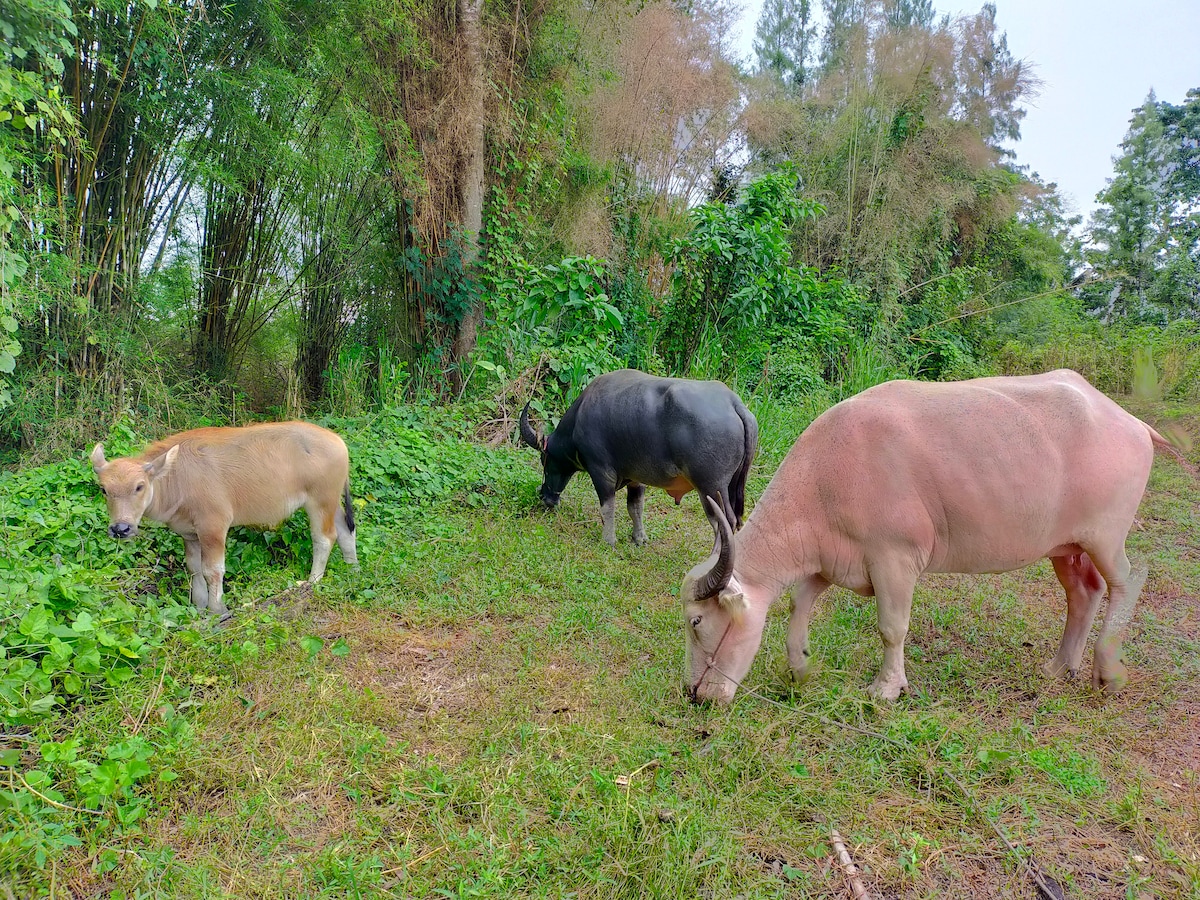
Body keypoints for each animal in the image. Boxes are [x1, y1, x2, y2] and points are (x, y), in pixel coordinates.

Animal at [89, 422, 355, 619]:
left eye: (139, 486)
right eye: (104, 489)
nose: (120, 528)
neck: (178, 477)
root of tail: (338, 441)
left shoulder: (213, 527)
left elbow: (213, 570)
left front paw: (217, 610)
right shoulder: (189, 534)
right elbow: (194, 568)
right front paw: (199, 605)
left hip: (320, 501)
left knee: (324, 538)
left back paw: (312, 581)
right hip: (333, 501)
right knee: (346, 531)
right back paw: (354, 570)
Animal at [518, 367, 758, 549]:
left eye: (544, 460)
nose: (545, 497)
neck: (579, 419)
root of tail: (734, 404)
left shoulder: (601, 471)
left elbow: (608, 507)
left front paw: (608, 540)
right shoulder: (636, 477)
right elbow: (635, 507)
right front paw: (639, 538)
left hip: (711, 487)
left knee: (723, 523)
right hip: (732, 485)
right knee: (735, 521)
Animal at [681, 369, 1195, 710]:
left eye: (696, 622)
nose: (696, 694)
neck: (830, 475)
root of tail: (1129, 421)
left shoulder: (895, 561)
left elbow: (892, 628)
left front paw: (887, 688)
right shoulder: (831, 560)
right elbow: (798, 607)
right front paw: (800, 668)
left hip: (1105, 537)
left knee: (1126, 582)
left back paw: (1105, 672)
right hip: (1065, 548)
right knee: (1084, 592)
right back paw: (1058, 667)